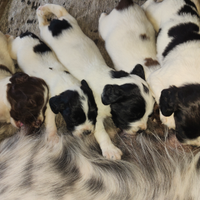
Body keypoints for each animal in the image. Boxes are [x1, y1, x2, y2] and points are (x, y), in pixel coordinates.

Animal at [36, 3, 155, 159]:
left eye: (149, 114)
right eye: (133, 114)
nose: (142, 130)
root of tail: (57, 22)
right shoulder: (95, 115)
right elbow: (101, 132)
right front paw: (111, 149)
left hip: (70, 20)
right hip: (45, 34)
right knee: (42, 24)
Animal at [143, 0, 200, 145]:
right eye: (181, 124)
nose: (191, 144)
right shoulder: (156, 77)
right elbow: (160, 92)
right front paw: (168, 118)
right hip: (155, 12)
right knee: (149, 5)